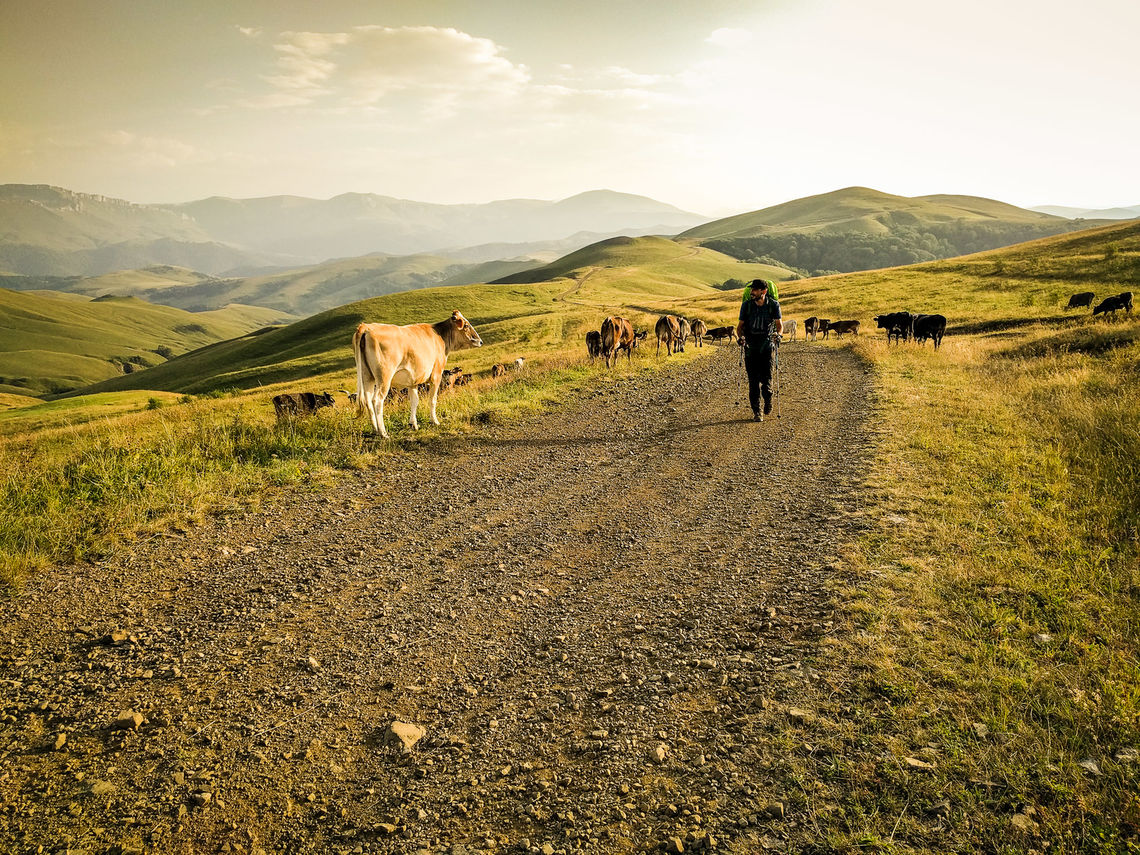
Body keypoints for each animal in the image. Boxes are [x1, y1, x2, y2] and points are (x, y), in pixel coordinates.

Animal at [353, 312, 483, 437]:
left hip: (367, 376)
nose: (480, 341)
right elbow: (433, 399)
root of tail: (366, 327)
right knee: (377, 400)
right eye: (466, 325)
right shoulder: (436, 375)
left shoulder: (413, 380)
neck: (440, 336)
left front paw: (413, 424)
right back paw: (383, 432)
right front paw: (434, 421)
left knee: (368, 400)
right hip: (384, 377)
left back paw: (375, 429)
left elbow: (414, 401)